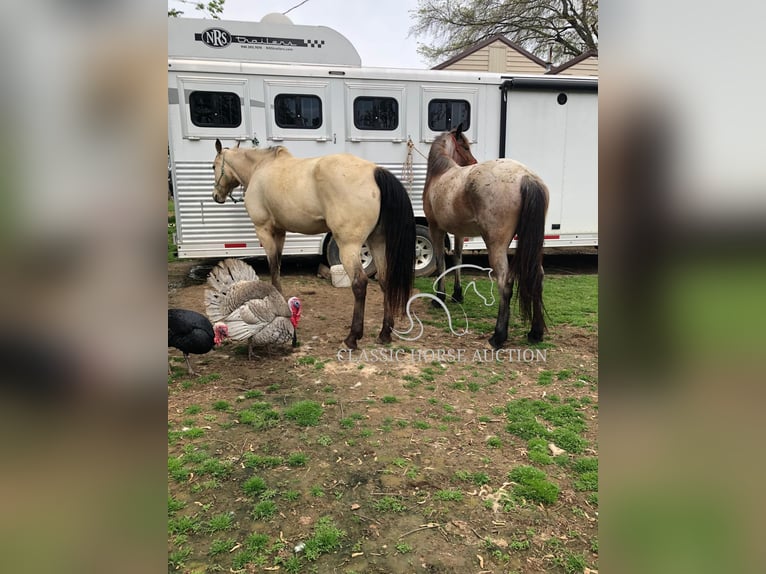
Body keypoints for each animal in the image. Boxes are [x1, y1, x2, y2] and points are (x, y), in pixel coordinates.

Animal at [210, 141, 416, 352]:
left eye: (213, 166)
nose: (216, 195)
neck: (260, 167)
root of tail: (375, 171)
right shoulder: (280, 232)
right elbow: (277, 269)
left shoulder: (264, 230)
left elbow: (273, 271)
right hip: (377, 242)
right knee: (384, 280)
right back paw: (385, 333)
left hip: (349, 246)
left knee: (360, 283)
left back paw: (352, 337)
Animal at [426, 127, 552, 348]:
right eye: (465, 146)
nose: (473, 161)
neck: (439, 174)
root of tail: (526, 177)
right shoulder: (458, 232)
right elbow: (457, 258)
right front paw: (457, 294)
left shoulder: (436, 229)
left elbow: (441, 262)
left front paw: (438, 298)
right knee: (538, 276)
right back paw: (535, 333)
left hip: (496, 244)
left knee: (505, 282)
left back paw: (498, 336)